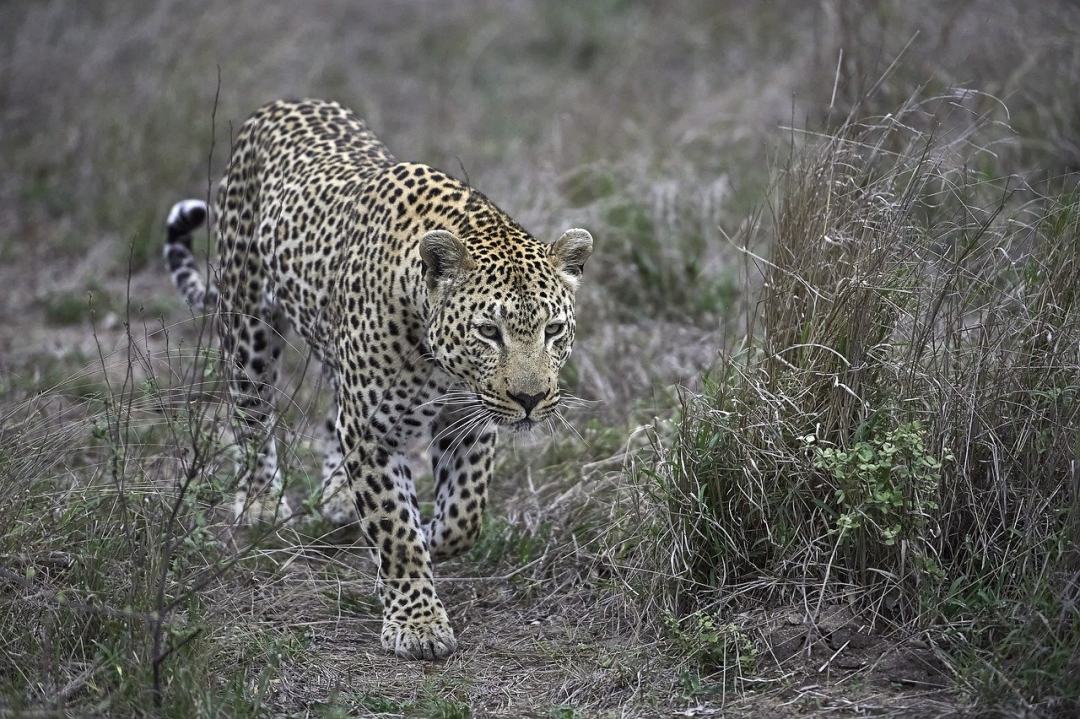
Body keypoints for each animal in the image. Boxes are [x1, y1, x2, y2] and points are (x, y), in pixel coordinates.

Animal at [164, 98, 596, 656]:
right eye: (488, 331)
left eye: (553, 329)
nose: (531, 398)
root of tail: (281, 104)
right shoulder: (372, 431)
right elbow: (394, 529)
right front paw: (417, 623)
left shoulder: (468, 420)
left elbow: (464, 516)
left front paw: (429, 538)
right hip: (248, 325)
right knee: (252, 414)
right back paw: (259, 504)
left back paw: (337, 498)